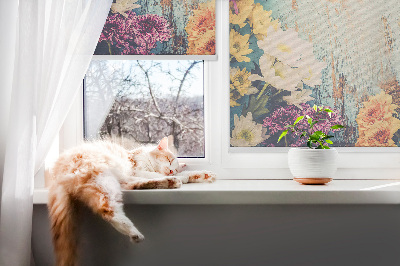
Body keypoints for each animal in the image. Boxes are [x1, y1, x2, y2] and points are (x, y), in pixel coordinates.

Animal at [48, 137, 217, 266]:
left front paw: (202, 175)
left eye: (174, 167)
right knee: (107, 209)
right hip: (103, 178)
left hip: (114, 181)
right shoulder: (136, 170)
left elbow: (185, 174)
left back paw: (170, 182)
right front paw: (183, 176)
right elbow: (154, 174)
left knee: (133, 186)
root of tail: (56, 172)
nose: (171, 171)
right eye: (169, 160)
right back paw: (134, 232)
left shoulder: (134, 174)